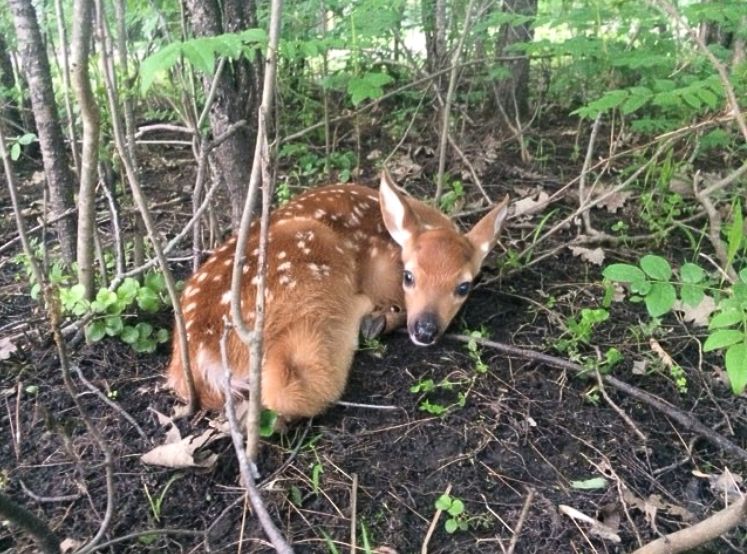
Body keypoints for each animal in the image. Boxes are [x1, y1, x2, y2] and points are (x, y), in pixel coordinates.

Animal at [167, 170, 512, 416]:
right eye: (409, 276)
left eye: (463, 286)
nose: (425, 329)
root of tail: (205, 358)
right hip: (315, 279)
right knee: (296, 389)